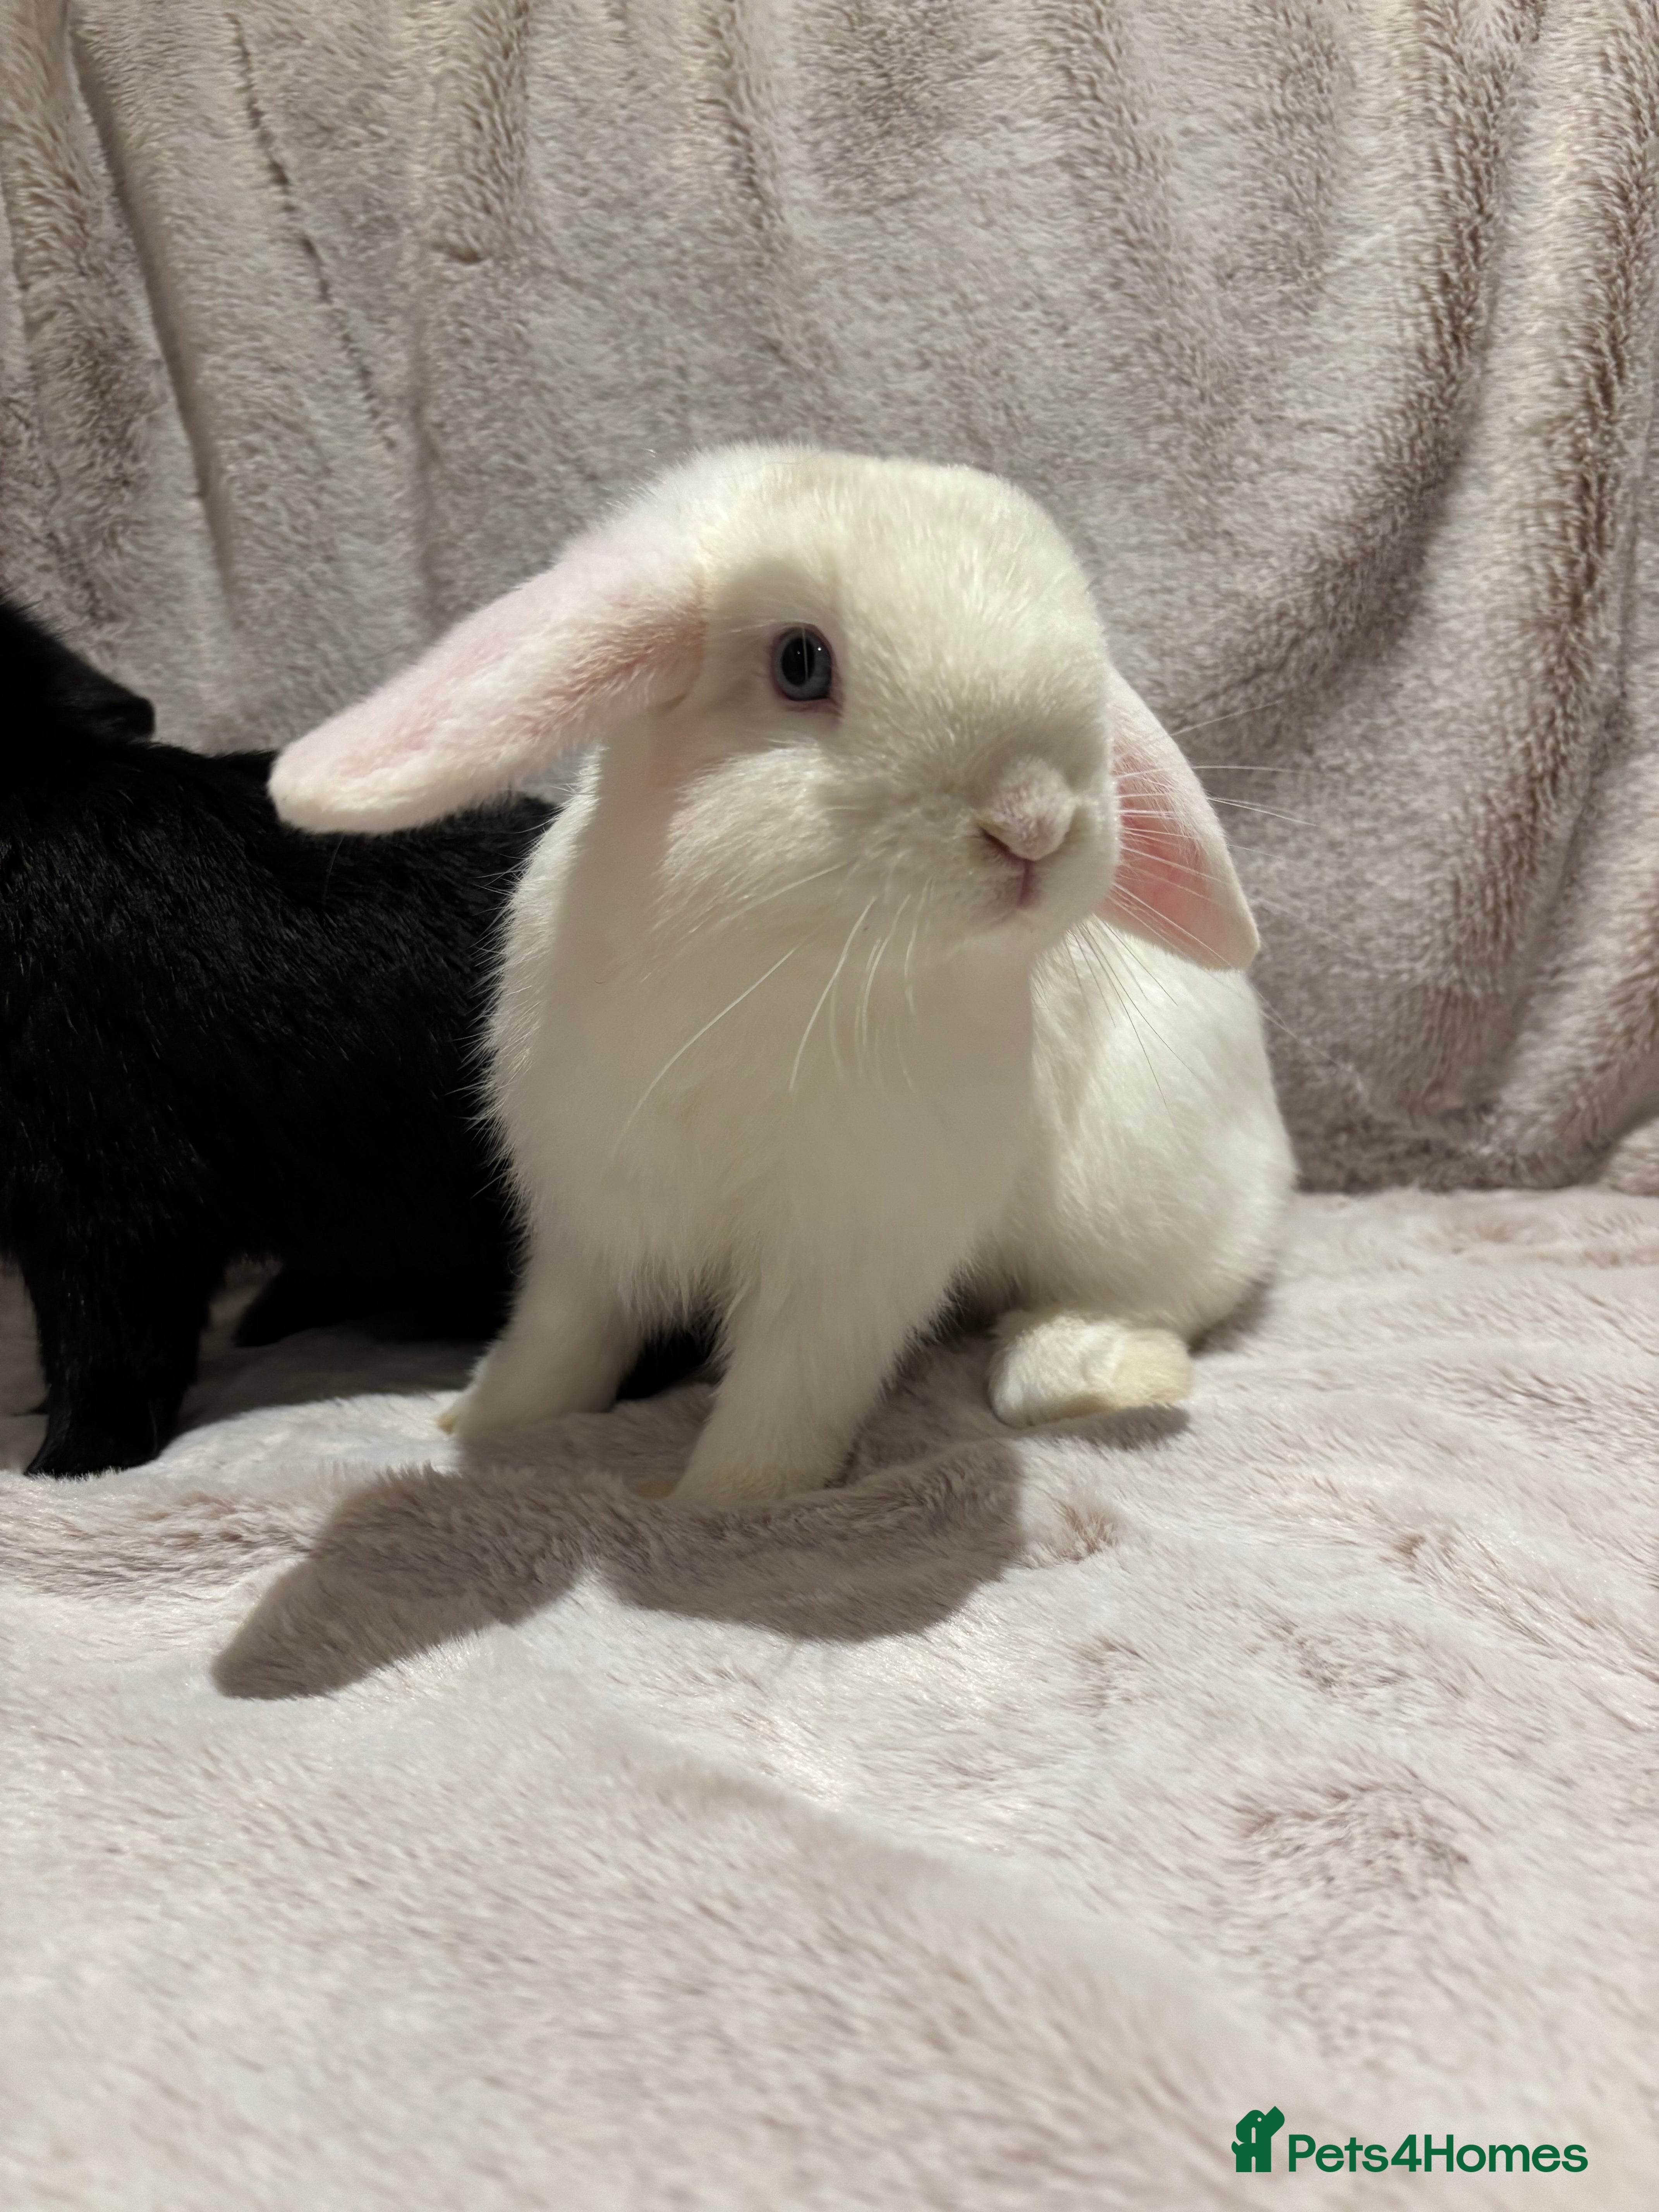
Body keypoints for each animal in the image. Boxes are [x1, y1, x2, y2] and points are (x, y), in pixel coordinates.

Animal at [271, 446, 1296, 1507]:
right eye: (801, 664)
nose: (1035, 821)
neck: (783, 966)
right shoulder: (592, 1219)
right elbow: (561, 1340)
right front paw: (484, 1420)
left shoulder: (855, 1261)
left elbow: (790, 1390)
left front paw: (729, 1502)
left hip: (1133, 1206)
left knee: (1155, 1304)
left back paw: (1083, 1371)